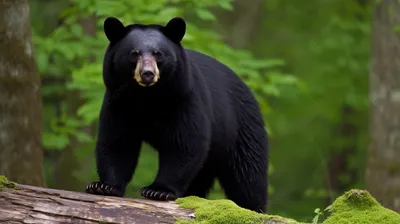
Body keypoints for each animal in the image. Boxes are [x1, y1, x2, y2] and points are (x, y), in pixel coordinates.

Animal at [86, 16, 270, 214]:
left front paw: (158, 190)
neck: (146, 96)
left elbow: (185, 143)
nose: (147, 74)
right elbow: (117, 142)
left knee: (247, 175)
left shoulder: (184, 99)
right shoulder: (118, 102)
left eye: (158, 53)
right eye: (134, 53)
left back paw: (253, 208)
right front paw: (103, 186)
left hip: (242, 130)